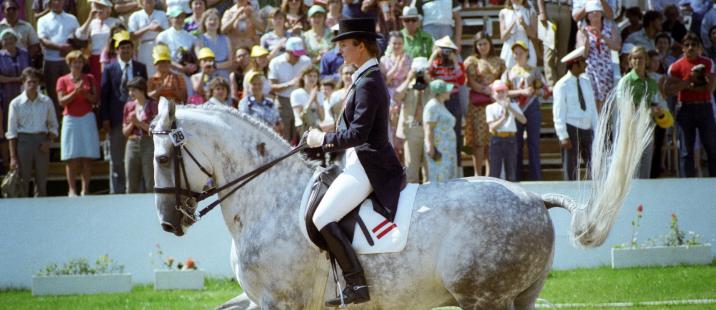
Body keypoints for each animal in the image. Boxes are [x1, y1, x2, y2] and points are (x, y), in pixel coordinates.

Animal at [151, 86, 656, 308]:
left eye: (162, 157)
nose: (168, 223)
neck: (269, 202)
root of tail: (536, 200)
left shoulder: (280, 302)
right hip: (520, 297)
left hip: (484, 297)